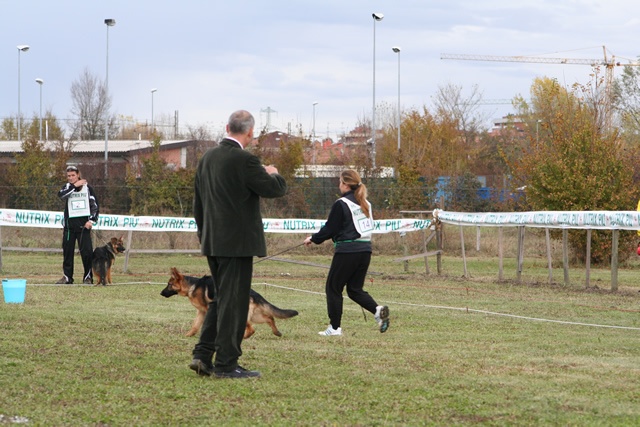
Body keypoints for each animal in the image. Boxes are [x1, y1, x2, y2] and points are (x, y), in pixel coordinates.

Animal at [161, 268, 298, 342]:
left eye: (169, 284)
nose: (161, 293)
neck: (192, 286)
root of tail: (254, 293)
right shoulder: (201, 312)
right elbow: (195, 326)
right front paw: (188, 335)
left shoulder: (207, 310)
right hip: (255, 316)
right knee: (270, 318)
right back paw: (276, 332)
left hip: (243, 314)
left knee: (252, 329)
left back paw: (243, 338)